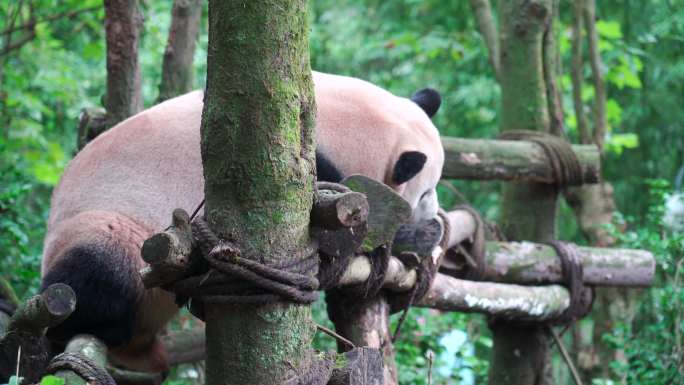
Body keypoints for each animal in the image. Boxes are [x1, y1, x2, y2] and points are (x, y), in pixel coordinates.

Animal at [40, 70, 446, 370]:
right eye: (426, 192)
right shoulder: (296, 161)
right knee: (94, 280)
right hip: (113, 224)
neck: (344, 120)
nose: (436, 219)